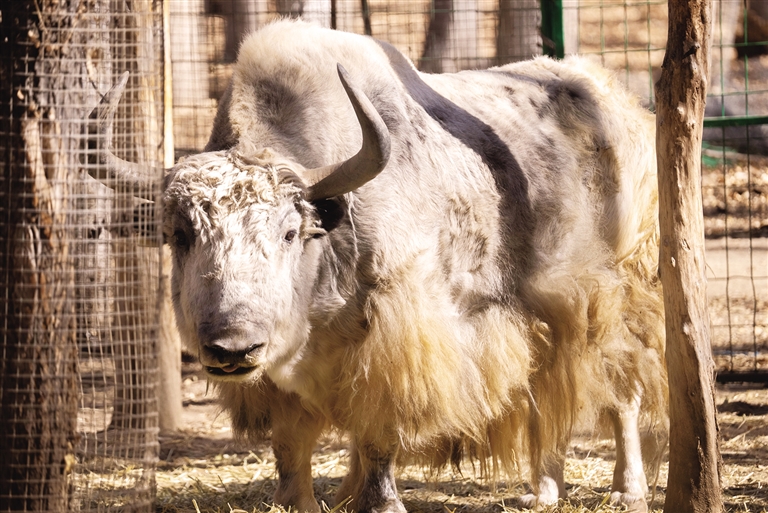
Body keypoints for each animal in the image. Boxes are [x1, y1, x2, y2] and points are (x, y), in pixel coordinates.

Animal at [86, 19, 667, 513]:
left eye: (290, 232)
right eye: (181, 236)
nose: (232, 348)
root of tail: (623, 102)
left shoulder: (394, 338)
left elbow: (378, 430)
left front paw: (381, 501)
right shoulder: (280, 373)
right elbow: (290, 444)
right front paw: (304, 500)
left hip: (619, 290)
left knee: (622, 388)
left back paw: (627, 489)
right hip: (542, 313)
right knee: (544, 388)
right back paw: (543, 491)